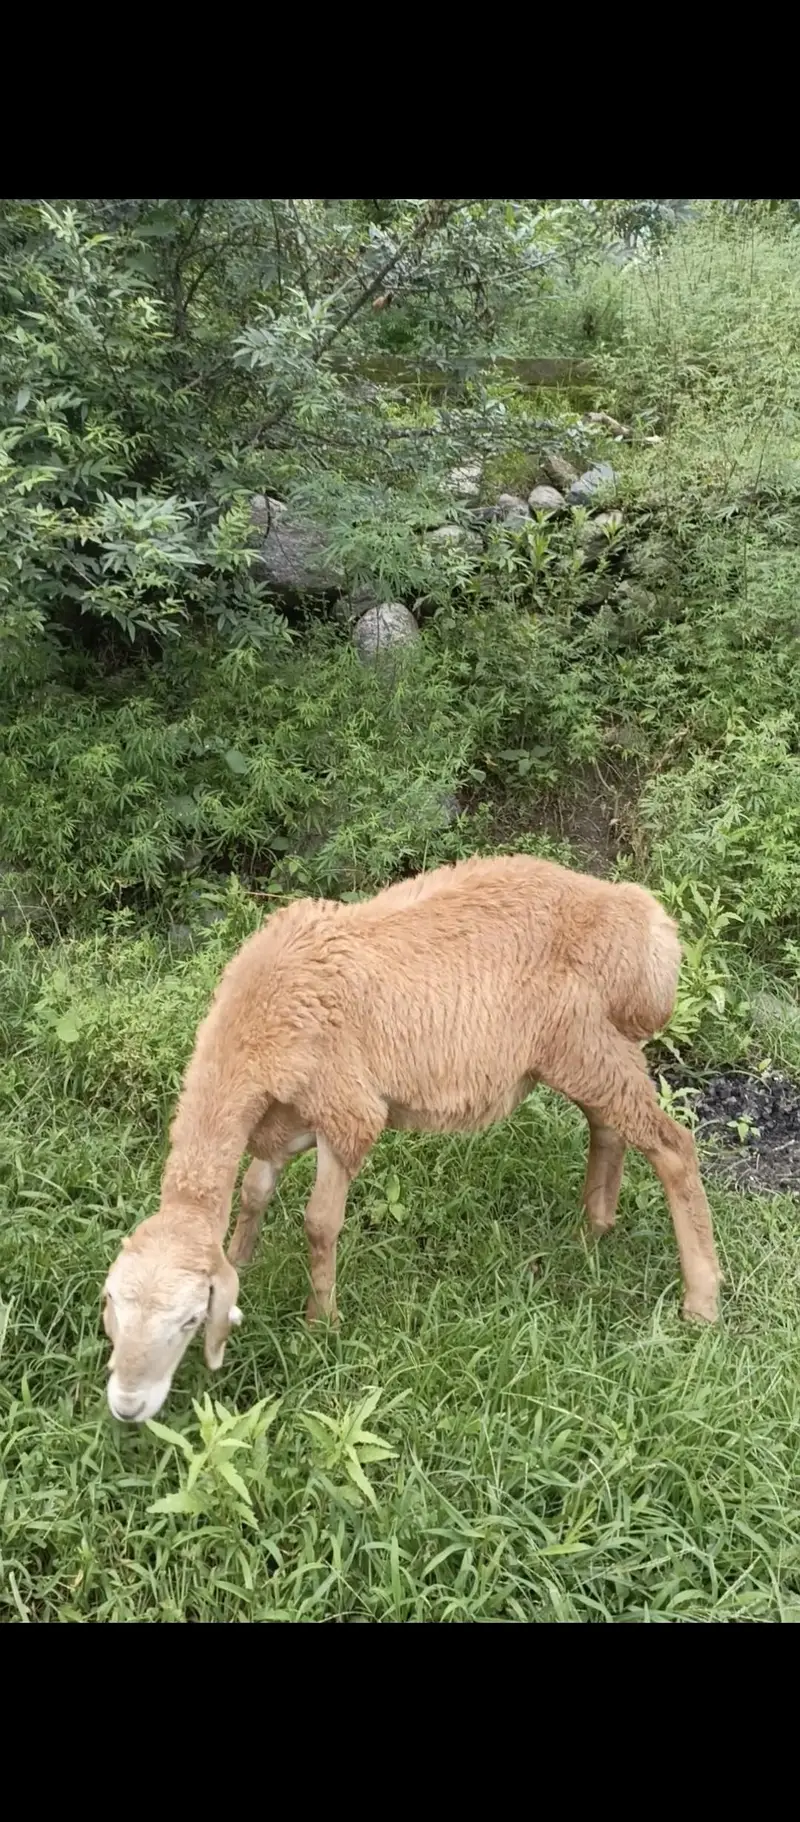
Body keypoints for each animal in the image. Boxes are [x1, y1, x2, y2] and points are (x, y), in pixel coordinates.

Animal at [102, 854, 722, 1422]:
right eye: (113, 1308)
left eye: (187, 1321)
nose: (127, 1408)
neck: (258, 1020)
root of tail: (644, 924)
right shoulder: (288, 1119)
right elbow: (254, 1193)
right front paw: (242, 1260)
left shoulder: (348, 1113)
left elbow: (319, 1223)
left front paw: (320, 1324)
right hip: (593, 1051)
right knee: (609, 1128)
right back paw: (594, 1230)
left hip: (584, 1044)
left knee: (674, 1149)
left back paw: (701, 1303)